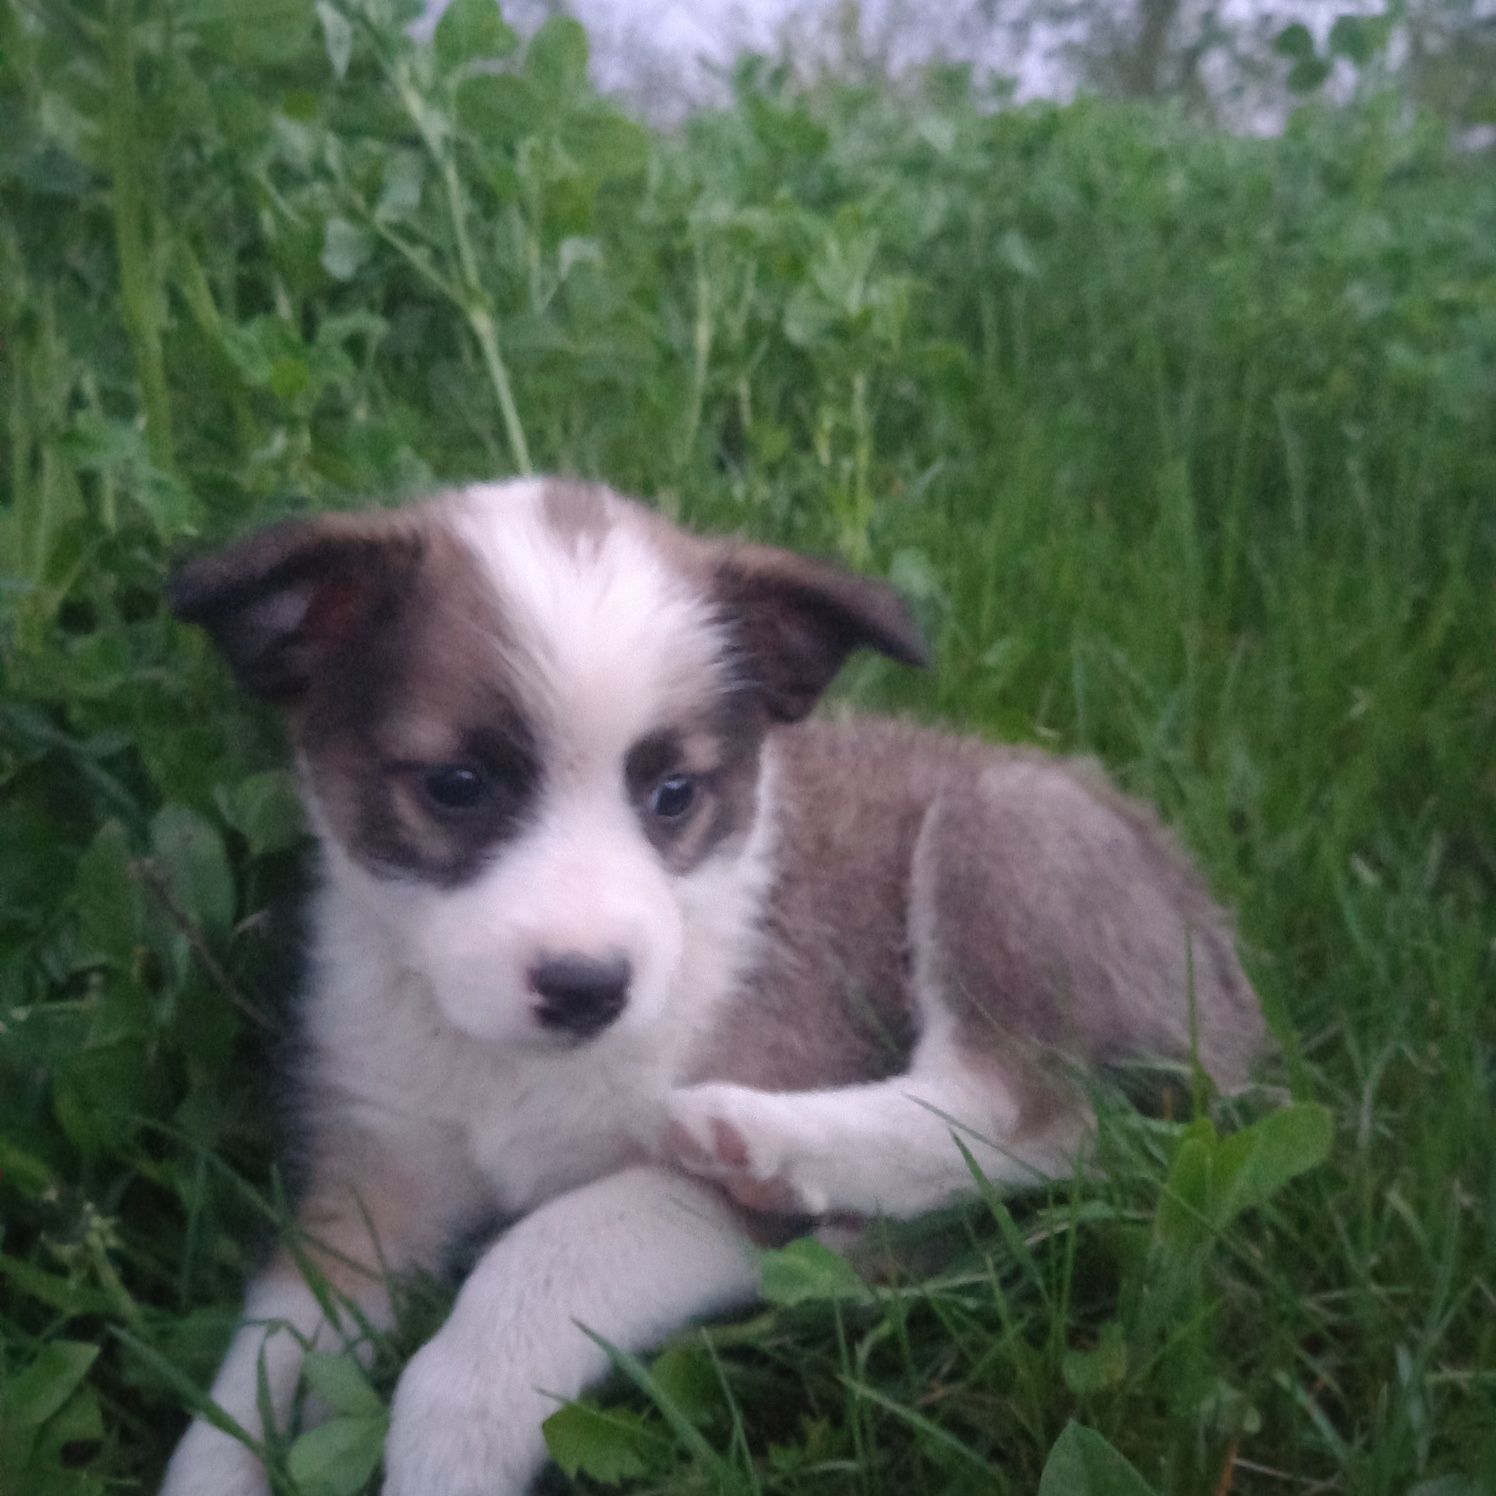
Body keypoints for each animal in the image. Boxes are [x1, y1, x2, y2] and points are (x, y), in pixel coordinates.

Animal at [160, 478, 1262, 1496]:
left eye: (673, 794)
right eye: (456, 786)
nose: (586, 989)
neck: (511, 1068)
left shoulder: (726, 1156)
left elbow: (542, 1252)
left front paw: (451, 1440)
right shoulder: (370, 1178)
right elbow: (255, 1371)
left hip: (1008, 827)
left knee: (1041, 1115)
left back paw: (771, 1144)